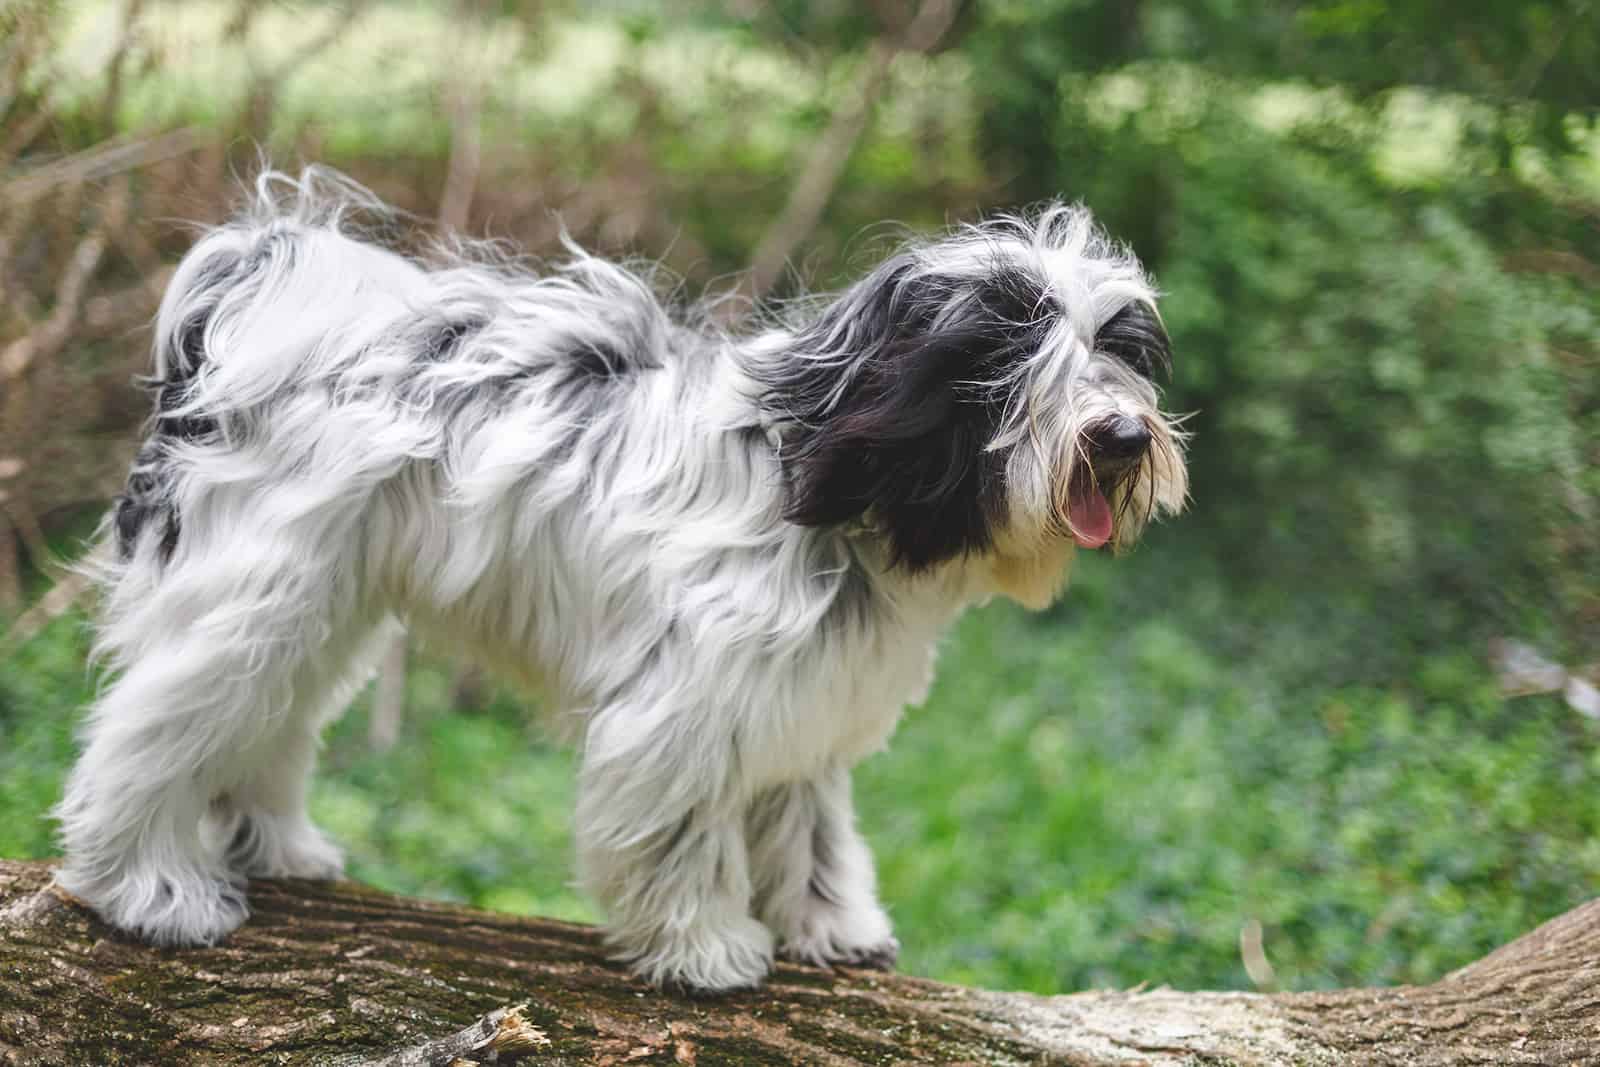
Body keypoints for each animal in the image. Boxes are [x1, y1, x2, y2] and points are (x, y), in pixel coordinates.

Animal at [53, 167, 1190, 991]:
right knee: (150, 729)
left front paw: (830, 921)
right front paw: (705, 947)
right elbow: (679, 830)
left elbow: (810, 825)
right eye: (1006, 355)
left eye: (1117, 349)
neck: (822, 481)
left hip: (315, 603)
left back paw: (275, 842)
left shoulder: (803, 700)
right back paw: (149, 885)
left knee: (268, 720)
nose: (1122, 435)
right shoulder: (683, 706)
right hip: (253, 594)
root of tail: (265, 303)